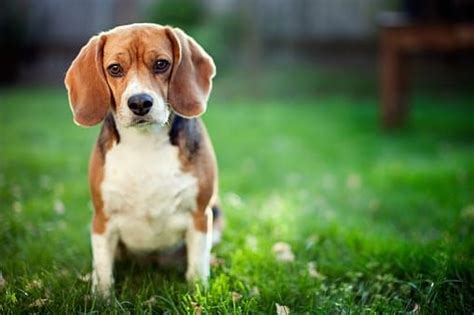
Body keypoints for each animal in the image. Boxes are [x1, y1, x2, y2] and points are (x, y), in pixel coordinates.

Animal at [64, 23, 221, 298]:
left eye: (161, 64)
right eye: (115, 68)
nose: (139, 102)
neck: (145, 143)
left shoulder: (200, 215)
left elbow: (196, 267)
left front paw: (197, 294)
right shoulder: (102, 219)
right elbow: (103, 270)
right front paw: (101, 299)